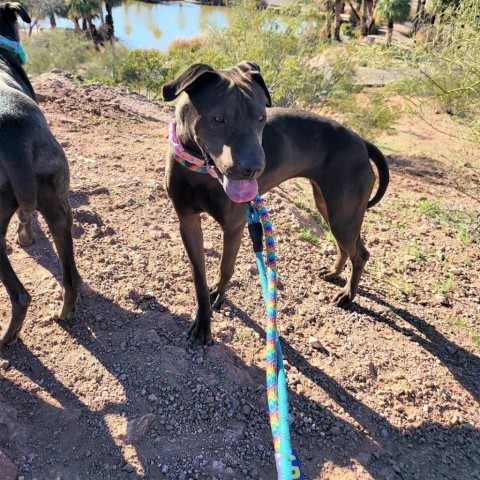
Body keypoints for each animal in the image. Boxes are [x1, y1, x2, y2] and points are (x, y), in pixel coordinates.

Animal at [163, 62, 388, 344]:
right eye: (218, 119)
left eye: (261, 118)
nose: (254, 169)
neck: (200, 171)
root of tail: (362, 142)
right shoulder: (188, 222)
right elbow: (198, 276)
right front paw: (203, 320)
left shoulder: (234, 227)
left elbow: (226, 268)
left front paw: (218, 296)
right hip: (330, 209)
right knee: (347, 247)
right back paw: (335, 273)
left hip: (343, 215)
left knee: (361, 253)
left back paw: (348, 295)